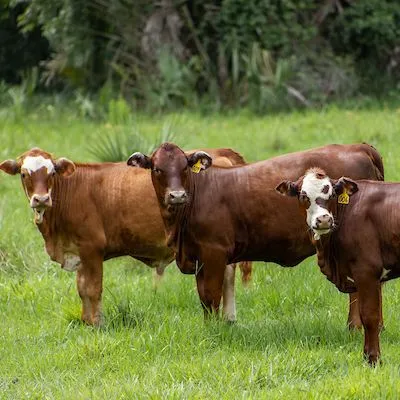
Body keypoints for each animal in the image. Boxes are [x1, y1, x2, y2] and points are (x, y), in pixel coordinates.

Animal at [0, 147, 250, 324]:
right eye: (24, 174)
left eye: (51, 172)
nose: (41, 199)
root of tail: (220, 151)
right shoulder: (78, 252)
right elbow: (82, 289)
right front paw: (85, 322)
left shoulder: (92, 249)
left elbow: (92, 289)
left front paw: (96, 324)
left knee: (226, 277)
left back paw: (228, 318)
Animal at [128, 142, 384, 330]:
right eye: (157, 169)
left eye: (184, 167)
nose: (177, 195)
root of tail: (358, 146)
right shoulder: (200, 256)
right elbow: (203, 297)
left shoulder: (214, 254)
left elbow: (211, 295)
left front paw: (213, 330)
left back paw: (355, 326)